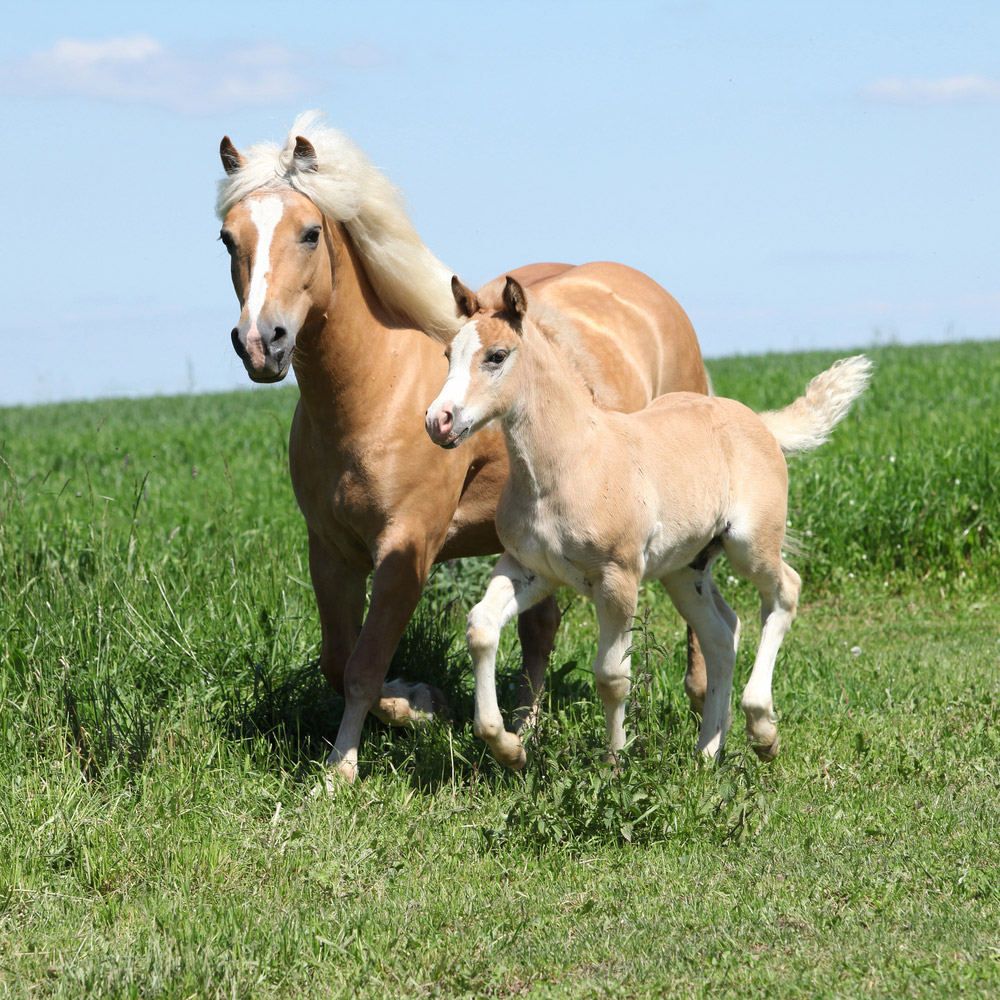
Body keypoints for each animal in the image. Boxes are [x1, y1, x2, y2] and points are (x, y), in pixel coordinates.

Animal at [214, 111, 708, 780]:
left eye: (310, 233)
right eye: (227, 238)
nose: (261, 342)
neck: (377, 389)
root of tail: (652, 295)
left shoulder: (407, 549)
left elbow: (364, 665)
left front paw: (344, 768)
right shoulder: (331, 552)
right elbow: (336, 662)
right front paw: (423, 704)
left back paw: (701, 705)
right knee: (541, 628)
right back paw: (524, 728)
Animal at [426, 278, 872, 768]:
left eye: (497, 355)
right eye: (447, 354)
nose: (438, 421)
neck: (571, 463)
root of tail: (759, 421)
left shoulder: (618, 578)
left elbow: (611, 676)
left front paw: (615, 766)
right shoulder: (530, 568)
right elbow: (481, 628)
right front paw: (508, 748)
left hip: (751, 544)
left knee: (784, 592)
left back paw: (762, 730)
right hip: (685, 568)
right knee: (721, 633)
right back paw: (707, 752)